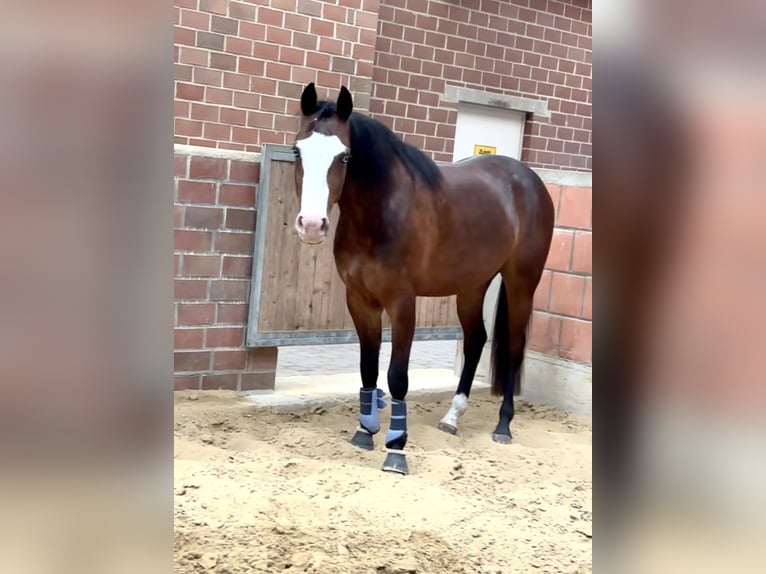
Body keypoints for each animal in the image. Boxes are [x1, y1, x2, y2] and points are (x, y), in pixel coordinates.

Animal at [290, 82, 554, 474]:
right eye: (298, 150)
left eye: (345, 157)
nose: (311, 225)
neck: (380, 214)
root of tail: (530, 180)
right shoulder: (360, 301)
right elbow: (368, 368)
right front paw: (364, 432)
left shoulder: (402, 303)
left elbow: (397, 376)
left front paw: (396, 450)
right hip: (472, 285)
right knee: (476, 340)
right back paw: (452, 417)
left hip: (522, 281)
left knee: (513, 345)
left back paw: (503, 426)